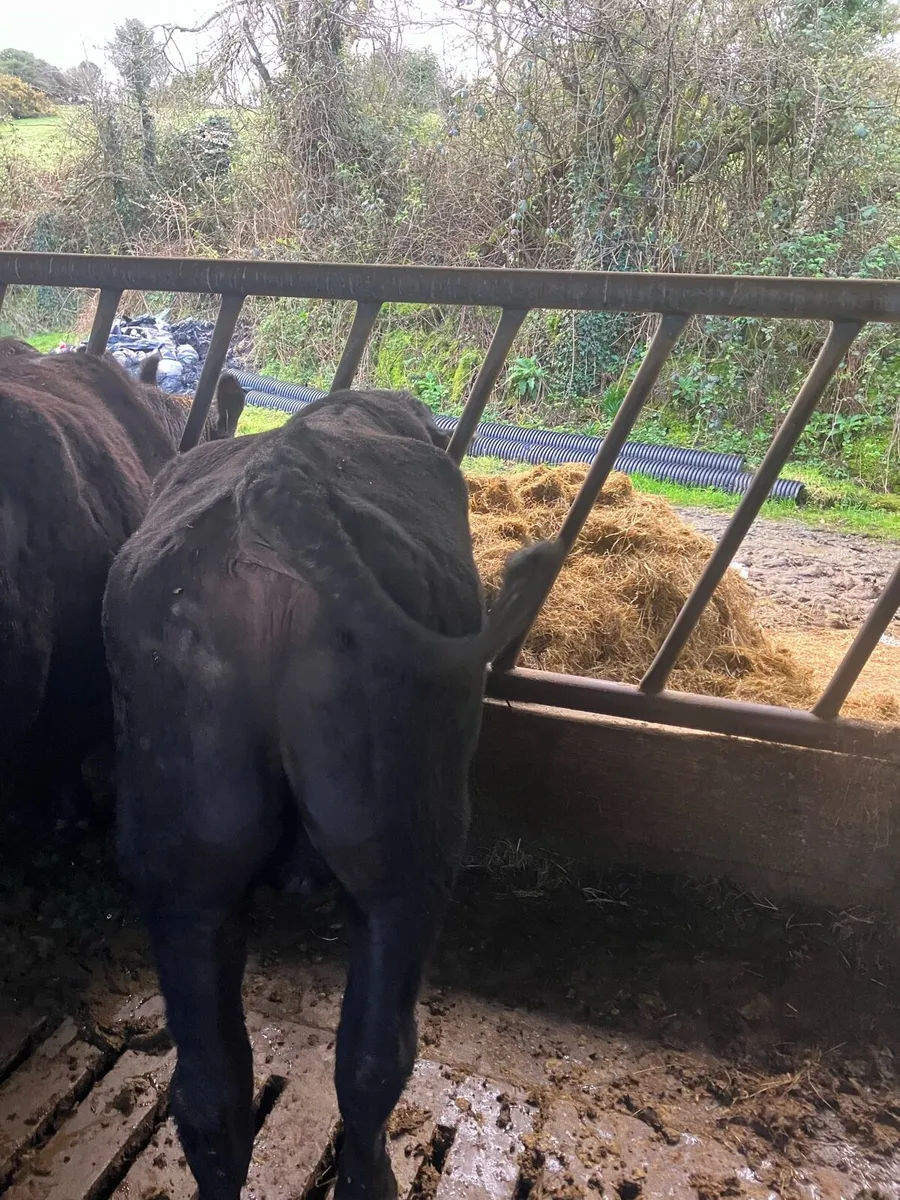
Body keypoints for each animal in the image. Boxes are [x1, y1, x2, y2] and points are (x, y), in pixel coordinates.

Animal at [103, 387, 564, 1200]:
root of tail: (283, 484)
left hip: (185, 864)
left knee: (211, 1092)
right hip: (406, 853)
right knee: (374, 1061)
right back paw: (372, 1179)